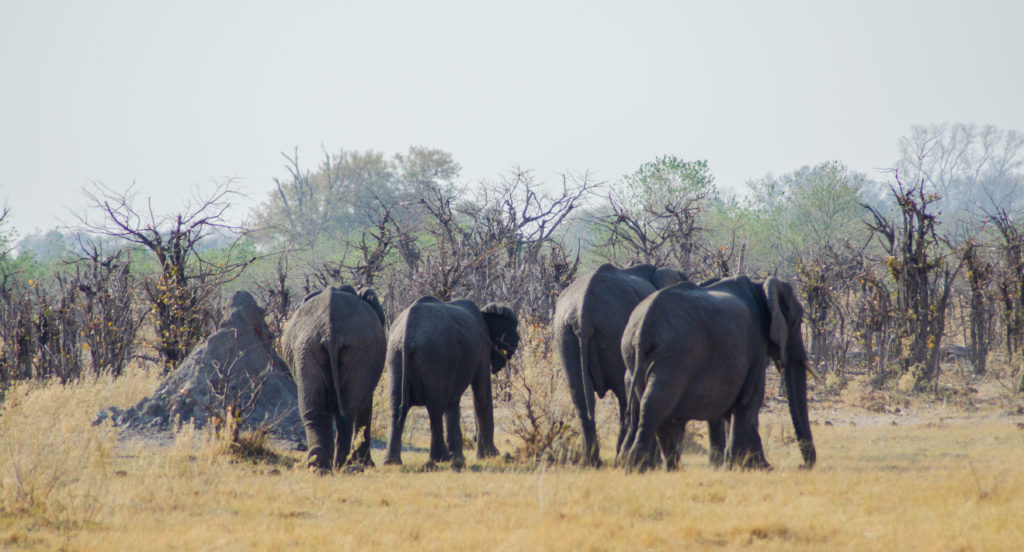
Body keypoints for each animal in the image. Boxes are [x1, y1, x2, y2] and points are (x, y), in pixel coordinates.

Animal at [281, 285, 387, 473]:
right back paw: (337, 464)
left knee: (317, 410)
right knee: (346, 411)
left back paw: (321, 463)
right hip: (349, 350)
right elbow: (366, 405)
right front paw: (367, 465)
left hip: (308, 349)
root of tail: (331, 331)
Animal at [384, 297, 520, 467]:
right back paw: (440, 458)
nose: (518, 339)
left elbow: (453, 401)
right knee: (435, 409)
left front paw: (460, 458)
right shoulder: (483, 346)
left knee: (397, 406)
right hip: (435, 355)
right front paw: (491, 456)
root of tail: (408, 333)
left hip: (394, 355)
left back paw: (392, 462)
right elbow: (481, 396)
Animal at [551, 262, 689, 467]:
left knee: (581, 396)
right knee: (625, 397)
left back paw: (592, 461)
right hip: (613, 329)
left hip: (565, 333)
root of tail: (584, 308)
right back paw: (619, 458)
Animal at [618, 275, 816, 472]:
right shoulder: (756, 349)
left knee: (657, 411)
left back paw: (667, 469)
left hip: (635, 355)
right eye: (799, 320)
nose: (801, 466)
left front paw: (758, 467)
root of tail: (644, 326)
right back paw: (638, 469)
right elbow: (749, 400)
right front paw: (735, 468)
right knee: (655, 405)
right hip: (674, 356)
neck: (760, 287)